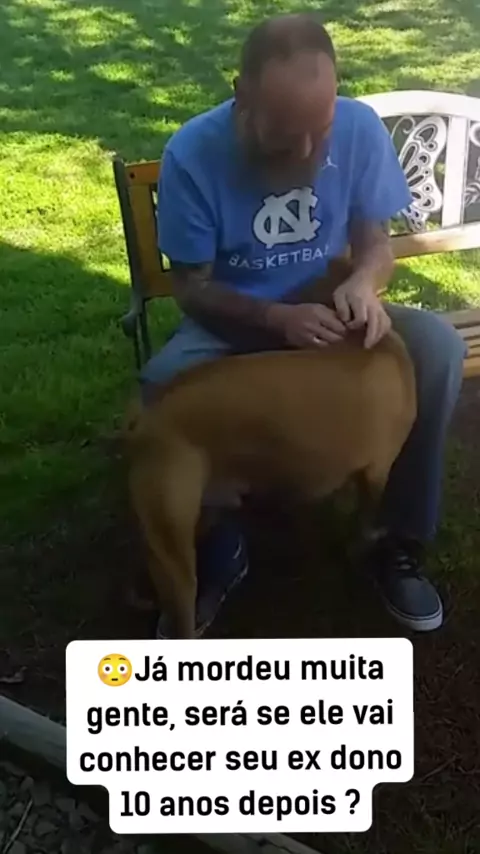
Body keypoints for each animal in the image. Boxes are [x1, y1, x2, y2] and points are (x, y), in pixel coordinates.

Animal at [125, 261, 417, 639]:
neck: (367, 344)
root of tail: (146, 421)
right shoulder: (376, 474)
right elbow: (364, 526)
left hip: (183, 526)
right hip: (178, 545)